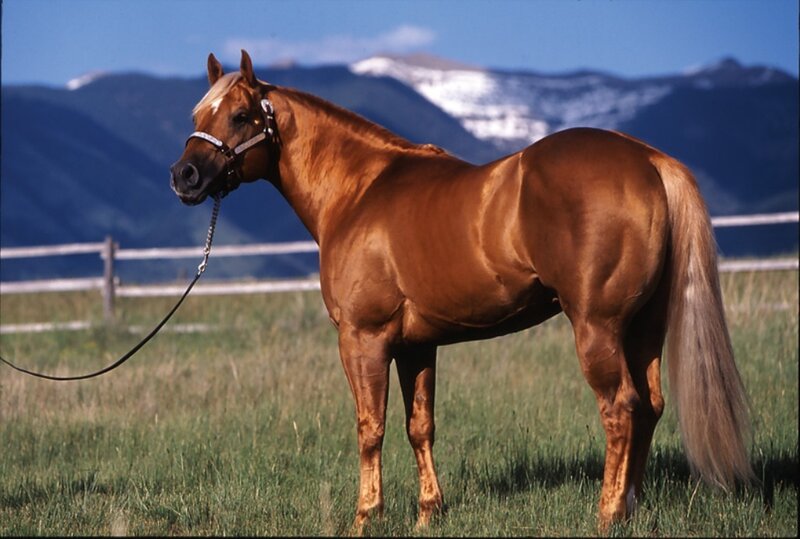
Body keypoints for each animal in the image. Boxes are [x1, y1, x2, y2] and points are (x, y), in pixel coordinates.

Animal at [170, 50, 753, 531]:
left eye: (240, 116)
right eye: (198, 117)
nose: (185, 176)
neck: (359, 192)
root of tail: (649, 160)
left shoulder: (363, 339)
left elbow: (370, 428)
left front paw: (366, 515)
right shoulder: (416, 345)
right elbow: (419, 426)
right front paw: (429, 511)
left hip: (598, 328)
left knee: (621, 409)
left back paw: (607, 514)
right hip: (643, 328)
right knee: (650, 406)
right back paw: (629, 506)